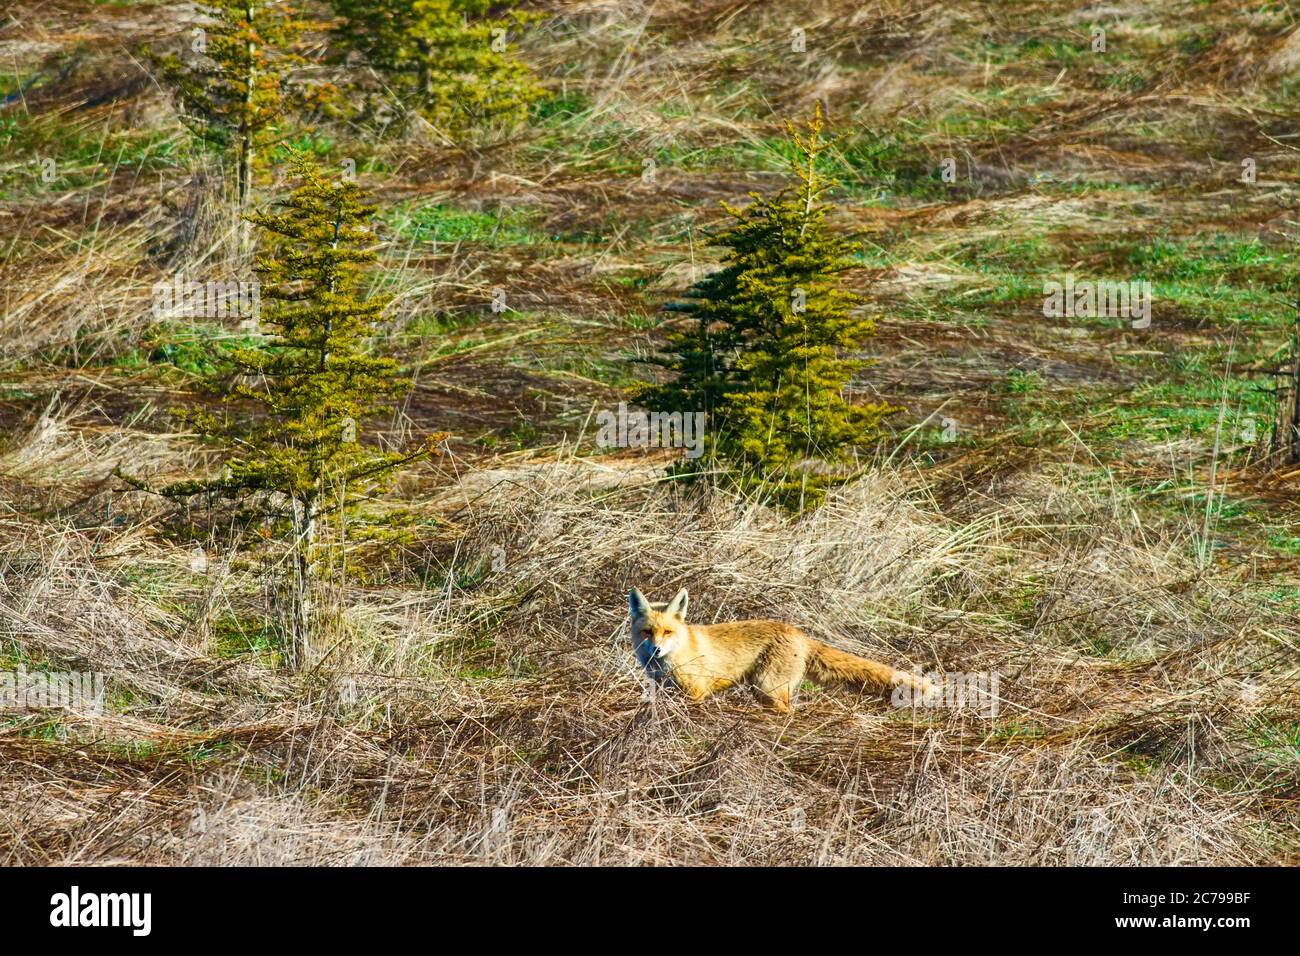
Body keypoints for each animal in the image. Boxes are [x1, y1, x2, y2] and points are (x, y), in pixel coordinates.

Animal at [629, 587, 935, 712]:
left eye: (668, 632)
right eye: (648, 632)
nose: (655, 650)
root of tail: (799, 633)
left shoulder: (696, 691)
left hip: (768, 688)